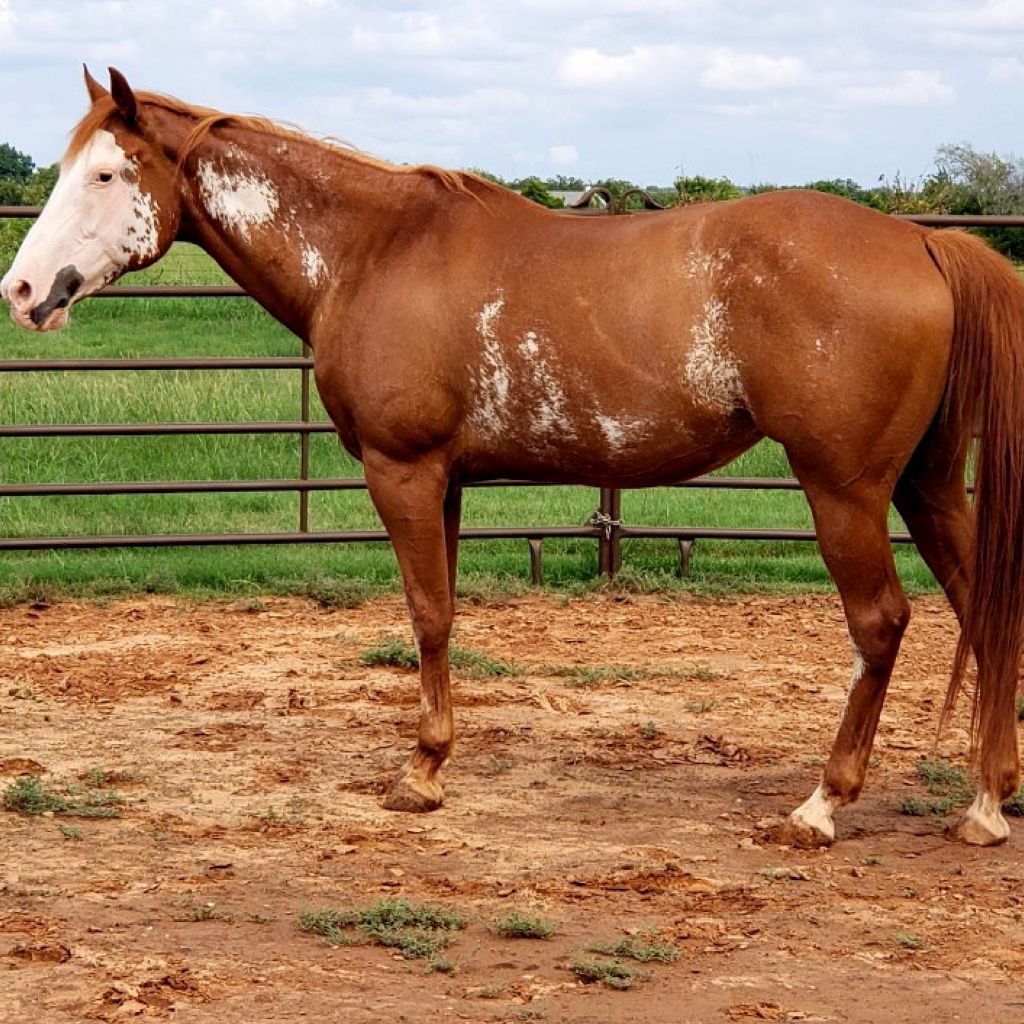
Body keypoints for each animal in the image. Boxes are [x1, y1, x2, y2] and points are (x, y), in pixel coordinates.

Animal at [4, 67, 1024, 849]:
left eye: (106, 172)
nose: (21, 289)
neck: (371, 251)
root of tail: (922, 239)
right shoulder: (446, 480)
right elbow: (445, 612)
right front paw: (434, 758)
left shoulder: (403, 469)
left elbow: (427, 614)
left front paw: (420, 773)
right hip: (927, 485)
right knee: (982, 602)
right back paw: (986, 801)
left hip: (845, 491)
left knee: (882, 623)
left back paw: (822, 804)